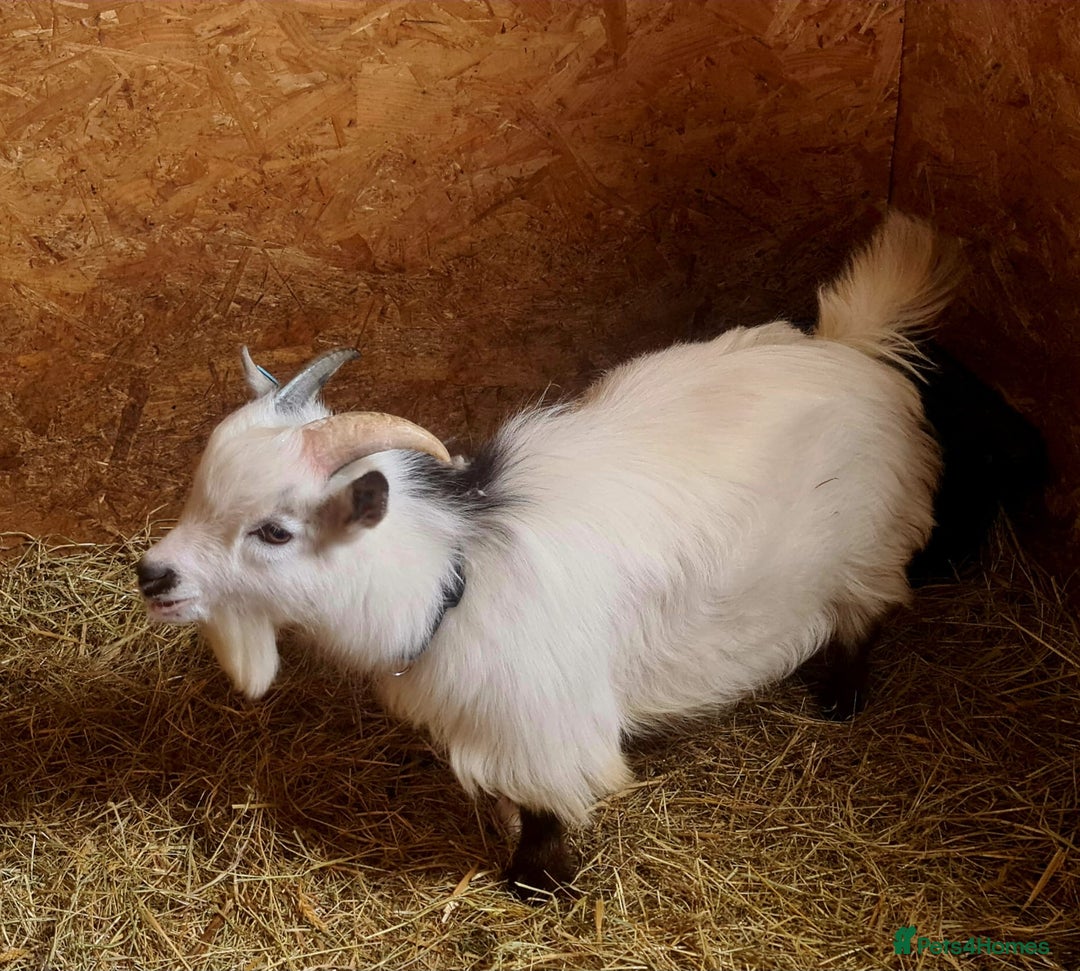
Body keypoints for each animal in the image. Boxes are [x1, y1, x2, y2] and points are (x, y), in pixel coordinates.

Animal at [137, 212, 958, 897]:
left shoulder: (543, 725)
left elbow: (545, 811)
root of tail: (851, 344)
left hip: (868, 551)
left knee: (865, 617)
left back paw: (841, 700)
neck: (455, 572)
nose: (153, 575)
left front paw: (536, 884)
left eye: (275, 530)